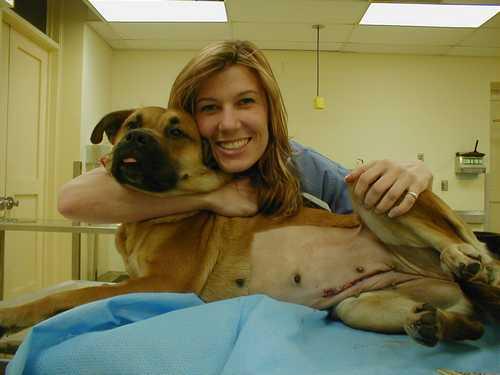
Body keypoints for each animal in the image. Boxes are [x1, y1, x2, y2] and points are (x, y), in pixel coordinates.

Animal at [0, 106, 498, 346]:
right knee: (470, 326)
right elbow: (92, 290)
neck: (158, 211)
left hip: (367, 189)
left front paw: (15, 317)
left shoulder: (164, 283)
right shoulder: (137, 280)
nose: (134, 138)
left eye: (177, 131)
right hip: (357, 306)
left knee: (469, 244)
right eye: (131, 123)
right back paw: (435, 322)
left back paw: (465, 259)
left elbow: (72, 296)